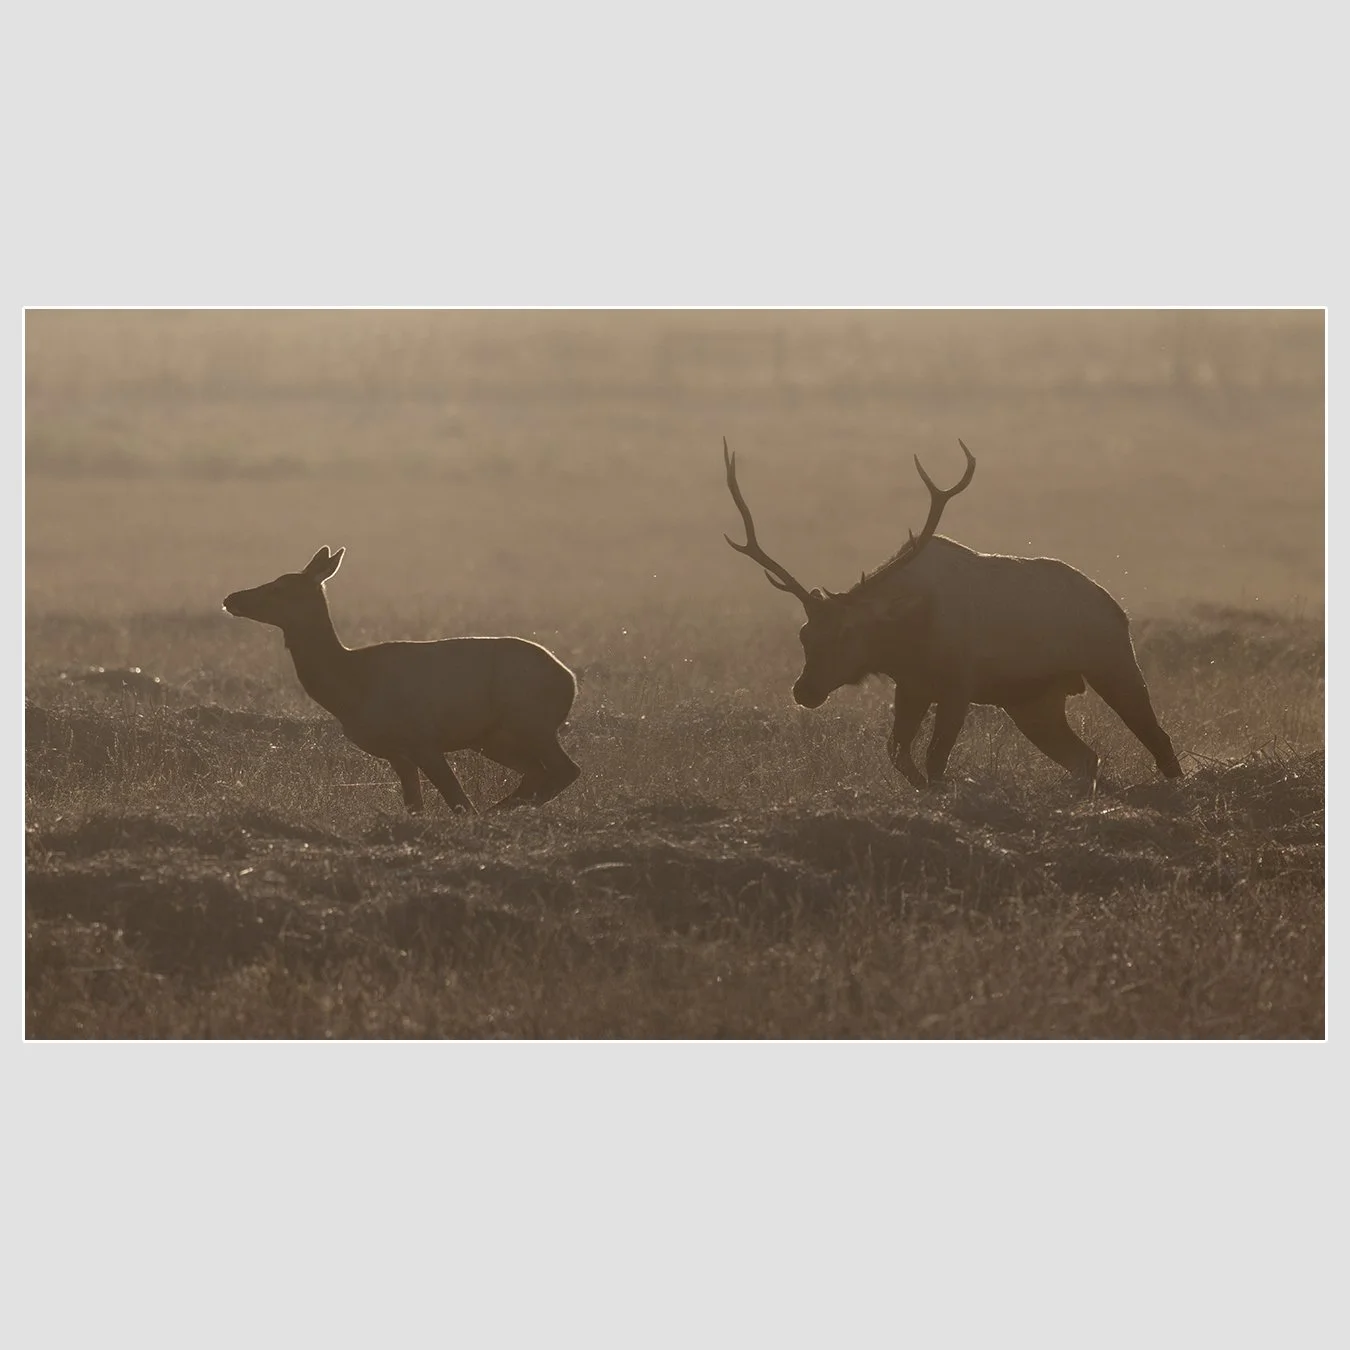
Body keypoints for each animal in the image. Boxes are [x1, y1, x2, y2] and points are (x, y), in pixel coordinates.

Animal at [223, 547, 580, 814]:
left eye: (278, 588)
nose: (231, 598)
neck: (351, 686)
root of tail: (570, 680)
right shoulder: (397, 752)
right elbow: (415, 807)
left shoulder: (422, 737)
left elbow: (458, 802)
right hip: (493, 737)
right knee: (537, 773)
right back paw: (503, 812)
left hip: (531, 720)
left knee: (565, 770)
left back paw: (497, 813)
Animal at [722, 438, 1182, 791]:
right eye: (804, 633)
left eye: (848, 633)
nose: (804, 690)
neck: (907, 638)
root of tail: (1117, 606)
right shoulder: (910, 686)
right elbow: (898, 753)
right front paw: (926, 789)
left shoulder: (959, 684)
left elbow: (934, 758)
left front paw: (945, 789)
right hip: (1033, 700)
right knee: (1086, 756)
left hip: (1114, 662)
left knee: (1160, 740)